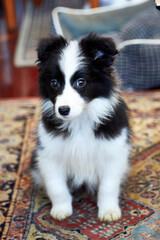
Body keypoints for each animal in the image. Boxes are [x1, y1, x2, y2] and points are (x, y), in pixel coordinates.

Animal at [31, 32, 131, 222]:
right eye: (54, 83)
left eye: (81, 82)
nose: (63, 110)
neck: (80, 121)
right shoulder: (49, 154)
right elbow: (56, 186)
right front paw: (61, 210)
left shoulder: (114, 153)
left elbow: (108, 186)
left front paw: (108, 211)